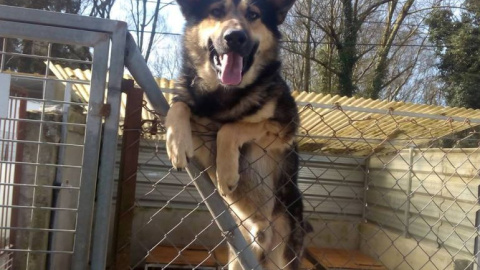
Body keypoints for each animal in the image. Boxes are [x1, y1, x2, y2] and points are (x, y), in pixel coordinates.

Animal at [165, 0, 308, 268]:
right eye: (216, 11)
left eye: (253, 14)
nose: (235, 37)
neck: (224, 96)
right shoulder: (199, 136)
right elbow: (179, 105)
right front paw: (176, 144)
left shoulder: (284, 126)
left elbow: (230, 128)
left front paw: (227, 174)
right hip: (239, 256)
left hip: (283, 253)